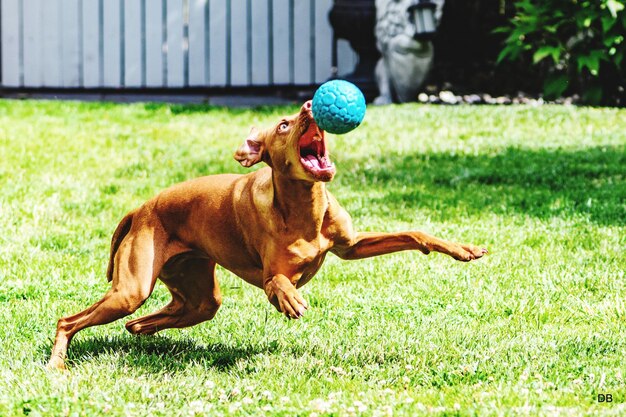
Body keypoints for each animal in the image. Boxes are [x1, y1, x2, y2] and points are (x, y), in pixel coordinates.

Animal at [48, 100, 488, 368]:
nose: (311, 105)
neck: (306, 208)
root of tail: (141, 208)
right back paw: (57, 363)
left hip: (198, 296)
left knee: (147, 320)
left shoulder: (351, 246)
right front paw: (291, 299)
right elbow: (277, 281)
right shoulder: (271, 274)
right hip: (131, 289)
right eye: (284, 124)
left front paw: (461, 248)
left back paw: (141, 334)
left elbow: (415, 233)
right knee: (68, 320)